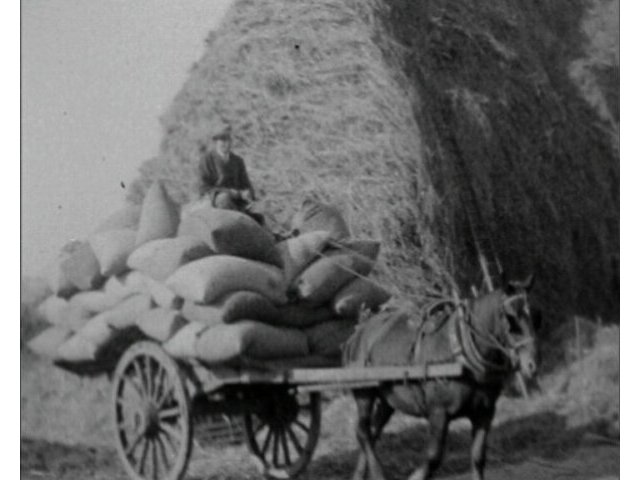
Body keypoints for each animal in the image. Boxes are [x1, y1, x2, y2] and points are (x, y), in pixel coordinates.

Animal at [342, 275, 538, 480]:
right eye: (511, 318)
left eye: (536, 315)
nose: (532, 364)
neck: (460, 351)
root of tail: (356, 335)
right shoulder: (438, 413)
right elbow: (434, 457)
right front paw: (415, 476)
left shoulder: (485, 413)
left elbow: (478, 457)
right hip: (365, 392)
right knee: (362, 431)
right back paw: (378, 473)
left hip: (388, 399)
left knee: (373, 432)